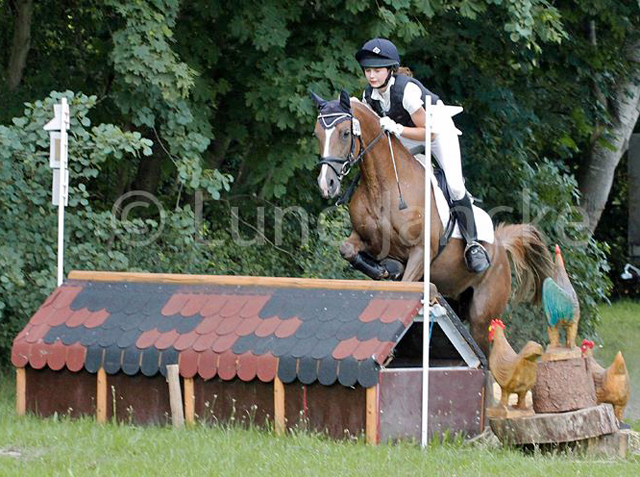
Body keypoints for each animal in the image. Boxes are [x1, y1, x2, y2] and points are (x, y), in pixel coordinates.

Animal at [312, 90, 552, 354]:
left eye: (345, 133)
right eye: (317, 134)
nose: (326, 184)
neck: (383, 185)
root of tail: (500, 246)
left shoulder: (421, 252)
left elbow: (406, 283)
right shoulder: (366, 238)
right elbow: (348, 249)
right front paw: (385, 269)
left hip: (482, 316)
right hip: (456, 300)